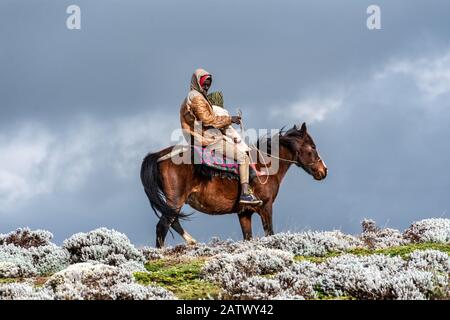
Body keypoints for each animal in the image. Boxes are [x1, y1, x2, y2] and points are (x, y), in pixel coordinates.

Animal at [141, 122, 326, 248]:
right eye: (313, 147)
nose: (324, 170)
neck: (264, 167)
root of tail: (159, 155)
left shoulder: (244, 213)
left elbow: (248, 237)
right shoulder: (266, 207)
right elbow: (269, 233)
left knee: (173, 222)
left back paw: (192, 241)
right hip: (176, 200)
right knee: (163, 226)